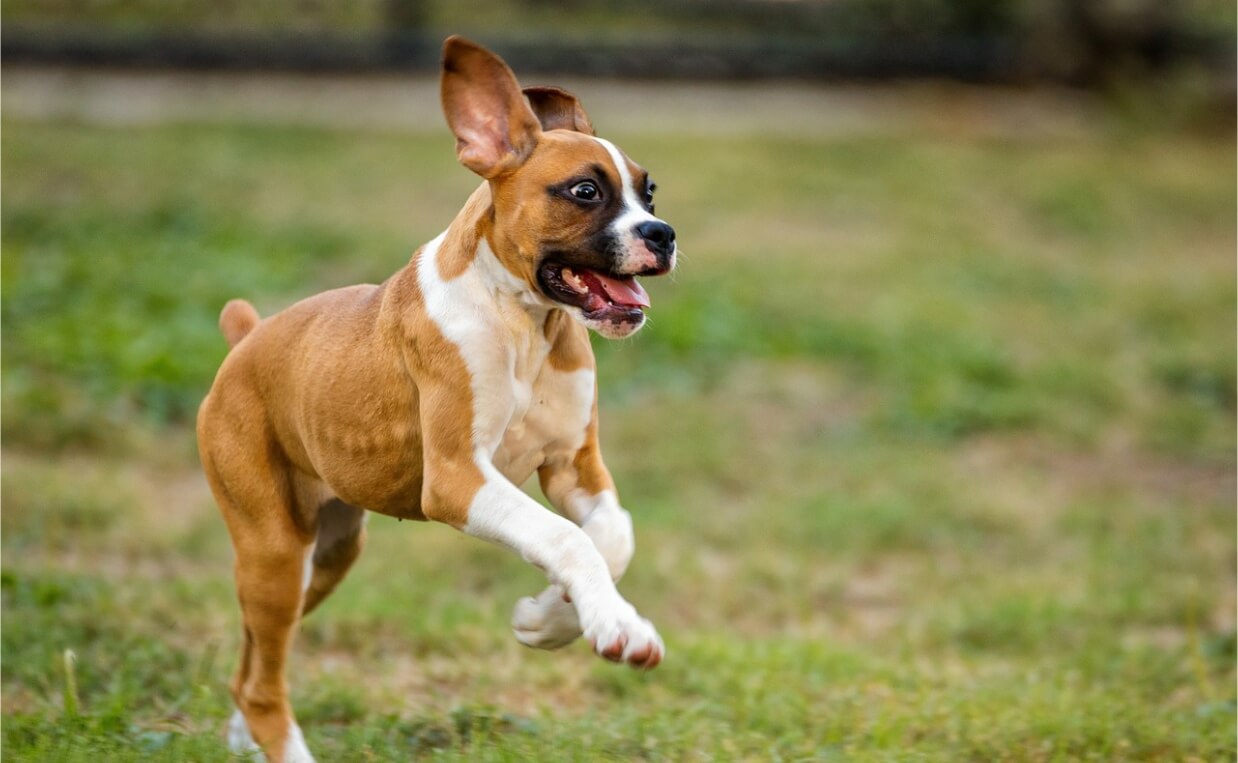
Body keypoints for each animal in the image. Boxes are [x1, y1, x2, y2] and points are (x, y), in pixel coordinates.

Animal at [196, 35, 673, 763]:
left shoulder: (574, 464)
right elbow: (565, 537)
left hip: (325, 554)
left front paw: (549, 619)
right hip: (274, 549)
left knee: (252, 661)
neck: (524, 321)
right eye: (585, 191)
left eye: (649, 192)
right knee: (263, 676)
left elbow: (612, 536)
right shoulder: (457, 479)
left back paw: (242, 738)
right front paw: (613, 625)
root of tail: (247, 339)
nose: (662, 234)